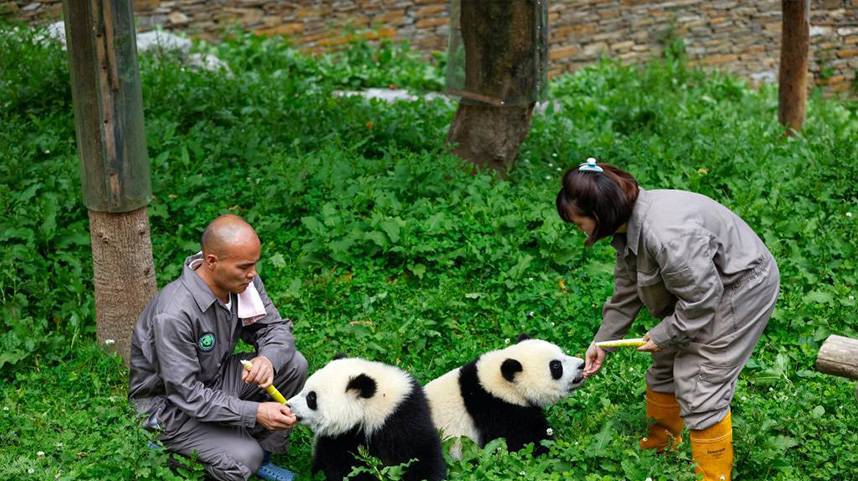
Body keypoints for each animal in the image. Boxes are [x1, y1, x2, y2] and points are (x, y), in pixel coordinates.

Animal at [290, 356, 444, 480]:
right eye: (303, 388)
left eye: (311, 398)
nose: (289, 405)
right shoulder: (340, 438)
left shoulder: (404, 419)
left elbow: (419, 456)